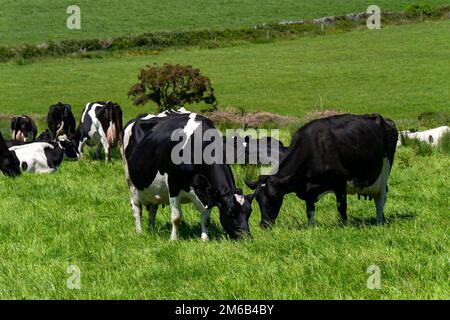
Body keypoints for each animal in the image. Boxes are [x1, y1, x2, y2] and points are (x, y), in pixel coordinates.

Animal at [123, 109, 253, 240]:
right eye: (231, 213)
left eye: (249, 212)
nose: (246, 237)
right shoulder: (173, 186)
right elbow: (176, 217)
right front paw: (173, 239)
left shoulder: (209, 193)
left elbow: (206, 219)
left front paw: (204, 239)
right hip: (131, 182)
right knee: (136, 208)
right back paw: (139, 232)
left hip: (154, 189)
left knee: (153, 208)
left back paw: (152, 230)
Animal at [246, 112, 398, 228]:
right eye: (257, 199)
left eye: (273, 196)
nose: (264, 225)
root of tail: (385, 119)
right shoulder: (308, 189)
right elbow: (310, 211)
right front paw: (310, 228)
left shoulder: (340, 181)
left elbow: (341, 206)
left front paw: (345, 226)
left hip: (384, 171)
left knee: (381, 198)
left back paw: (379, 221)